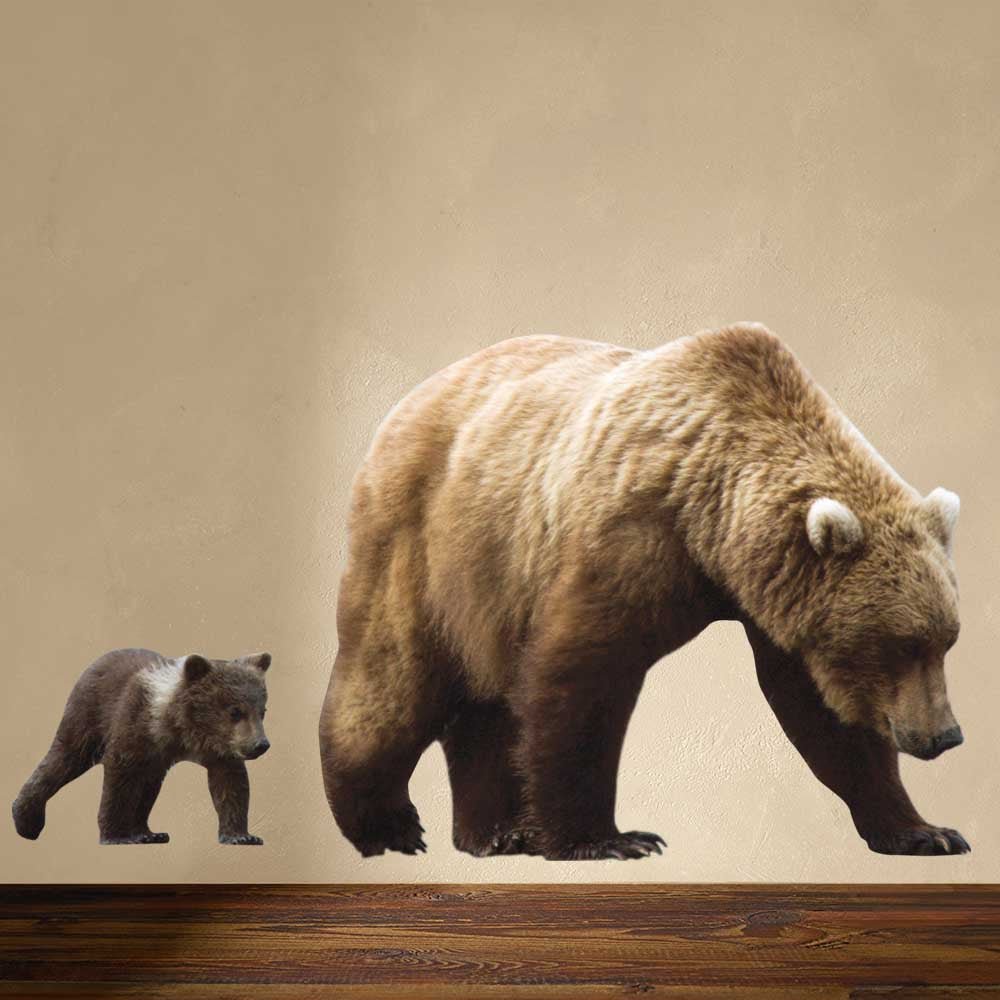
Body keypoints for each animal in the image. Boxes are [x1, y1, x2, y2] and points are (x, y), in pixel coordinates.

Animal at [13, 648, 272, 845]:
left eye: (262, 711)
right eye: (235, 711)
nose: (261, 745)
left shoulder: (219, 750)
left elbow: (230, 784)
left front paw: (242, 836)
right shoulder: (135, 724)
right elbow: (118, 778)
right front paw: (115, 835)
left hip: (152, 760)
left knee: (147, 785)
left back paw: (149, 833)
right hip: (86, 717)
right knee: (63, 758)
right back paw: (27, 822)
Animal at [318, 323, 967, 860]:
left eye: (944, 642)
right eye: (900, 643)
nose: (945, 735)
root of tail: (408, 401)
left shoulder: (778, 600)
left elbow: (821, 712)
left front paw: (925, 830)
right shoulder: (633, 536)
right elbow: (580, 677)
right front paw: (609, 838)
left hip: (492, 585)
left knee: (484, 701)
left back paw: (498, 832)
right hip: (432, 541)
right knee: (393, 679)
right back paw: (387, 826)